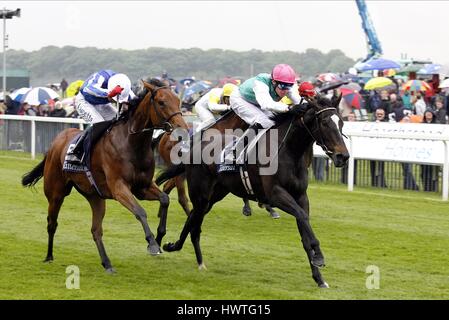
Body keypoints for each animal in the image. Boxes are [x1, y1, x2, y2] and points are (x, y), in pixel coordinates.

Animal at [21, 79, 187, 272]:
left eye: (178, 101)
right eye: (161, 102)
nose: (183, 129)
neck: (131, 143)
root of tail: (56, 142)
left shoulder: (143, 187)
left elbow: (165, 199)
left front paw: (160, 237)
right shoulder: (119, 188)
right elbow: (140, 211)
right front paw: (152, 243)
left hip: (95, 196)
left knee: (96, 230)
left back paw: (107, 263)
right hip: (56, 193)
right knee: (52, 223)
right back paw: (49, 256)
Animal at [156, 95, 348, 288]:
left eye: (341, 123)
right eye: (324, 122)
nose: (343, 156)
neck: (289, 152)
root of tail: (194, 145)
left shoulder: (301, 196)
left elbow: (304, 230)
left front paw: (319, 278)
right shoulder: (275, 194)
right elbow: (302, 217)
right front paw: (319, 255)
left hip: (214, 195)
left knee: (192, 218)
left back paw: (177, 248)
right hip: (201, 194)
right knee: (194, 223)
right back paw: (183, 252)